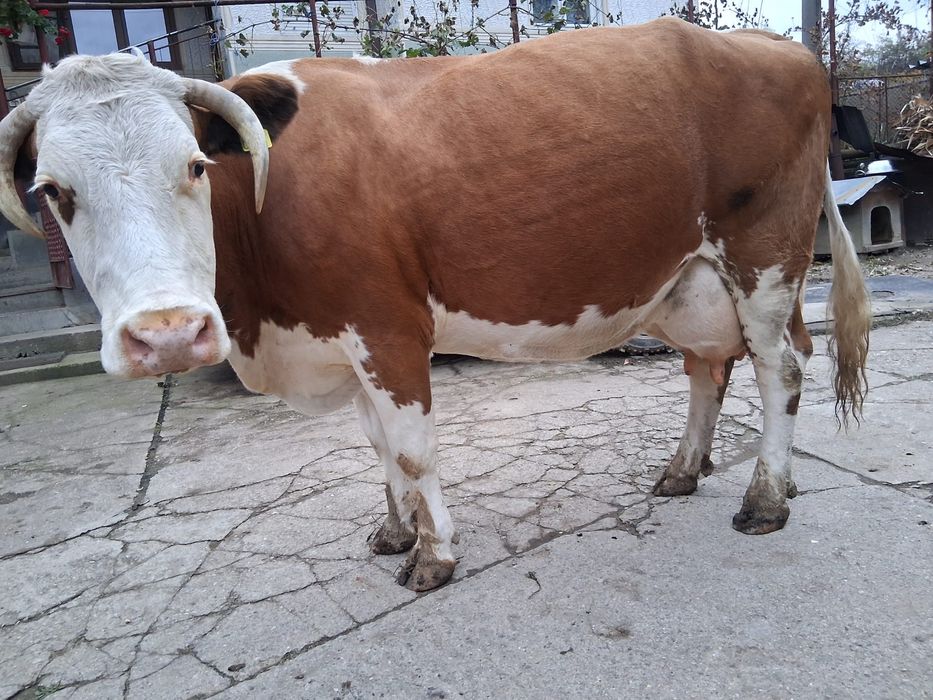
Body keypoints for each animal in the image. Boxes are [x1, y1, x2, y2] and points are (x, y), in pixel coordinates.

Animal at [0, 18, 871, 591]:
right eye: (53, 191)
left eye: (192, 165)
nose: (170, 334)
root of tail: (777, 44)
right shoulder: (341, 340)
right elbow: (379, 448)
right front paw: (395, 531)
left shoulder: (386, 327)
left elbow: (414, 450)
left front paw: (434, 555)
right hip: (691, 279)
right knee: (709, 369)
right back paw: (691, 472)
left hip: (763, 258)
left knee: (782, 367)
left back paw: (765, 500)